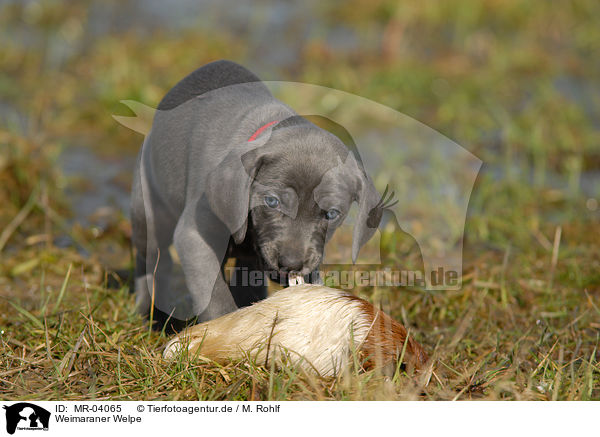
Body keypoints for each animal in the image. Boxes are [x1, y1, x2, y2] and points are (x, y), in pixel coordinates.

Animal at [132, 59, 384, 328]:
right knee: (152, 257)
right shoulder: (194, 235)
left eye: (331, 214)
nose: (291, 263)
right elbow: (215, 297)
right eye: (272, 202)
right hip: (148, 207)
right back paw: (149, 310)